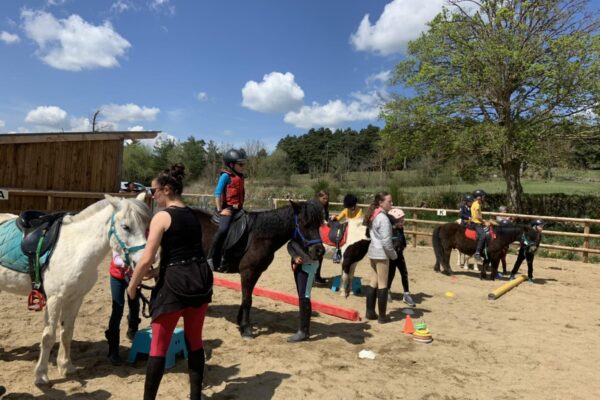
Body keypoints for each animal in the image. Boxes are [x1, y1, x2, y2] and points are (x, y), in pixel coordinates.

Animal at [0, 194, 150, 384]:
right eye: (126, 227)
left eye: (146, 226)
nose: (146, 262)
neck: (75, 249)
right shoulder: (54, 299)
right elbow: (49, 337)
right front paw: (41, 375)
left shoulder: (76, 298)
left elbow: (67, 332)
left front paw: (66, 366)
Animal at [191, 202, 324, 340]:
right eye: (305, 224)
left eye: (319, 225)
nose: (320, 251)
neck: (260, 236)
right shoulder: (248, 272)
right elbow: (247, 300)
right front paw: (246, 329)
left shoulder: (256, 272)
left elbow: (247, 297)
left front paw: (240, 322)